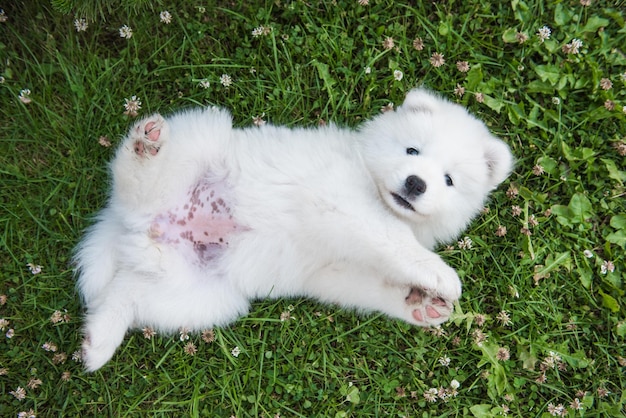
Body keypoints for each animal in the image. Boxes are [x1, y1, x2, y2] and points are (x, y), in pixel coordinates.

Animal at [74, 88, 512, 370]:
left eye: (449, 180)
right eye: (412, 150)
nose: (416, 183)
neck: (371, 181)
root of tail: (132, 225)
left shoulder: (333, 270)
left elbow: (372, 283)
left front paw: (420, 302)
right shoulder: (345, 204)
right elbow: (394, 240)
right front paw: (439, 274)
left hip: (201, 294)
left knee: (128, 291)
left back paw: (98, 340)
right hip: (201, 144)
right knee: (136, 182)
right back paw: (145, 149)